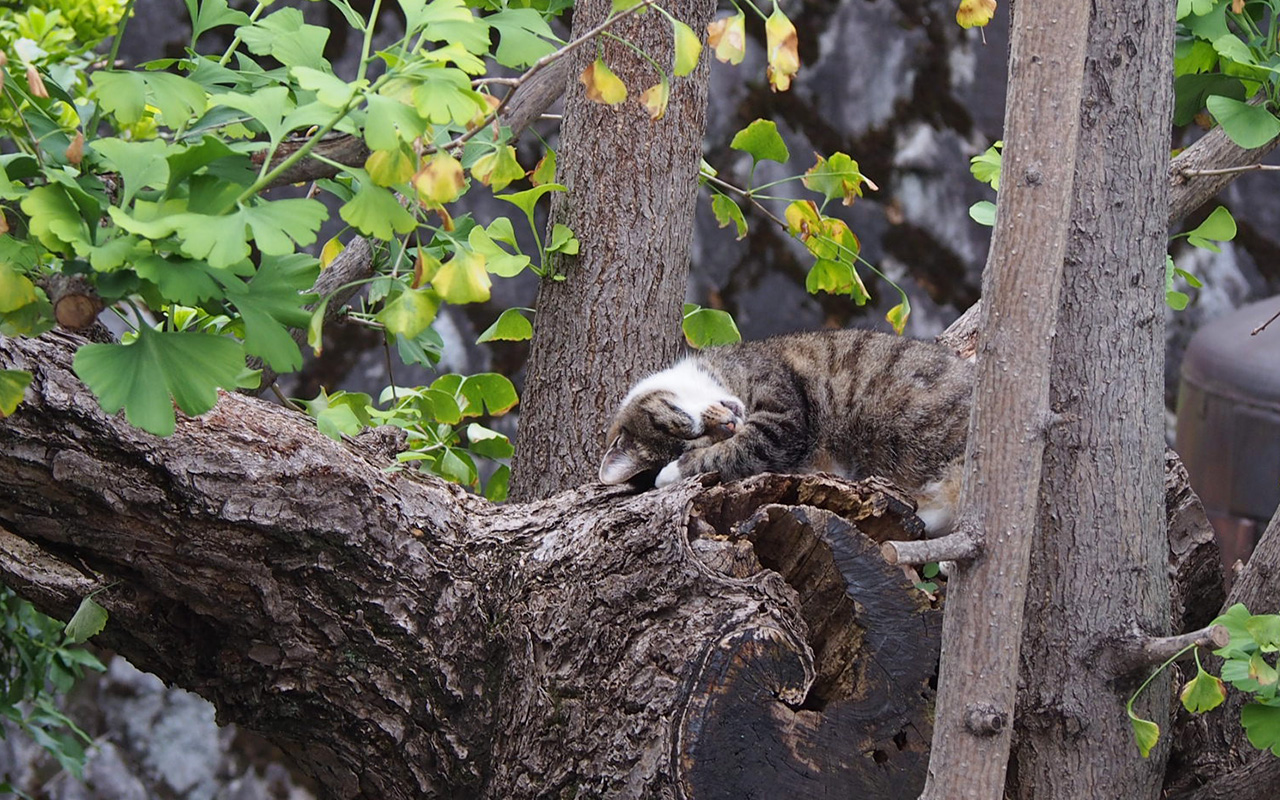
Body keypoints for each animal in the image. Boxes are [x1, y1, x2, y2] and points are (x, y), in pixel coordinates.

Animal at [596, 327, 967, 532]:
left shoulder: (781, 417)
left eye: (684, 418)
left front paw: (669, 473)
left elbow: (732, 452)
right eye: (694, 436)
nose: (729, 423)